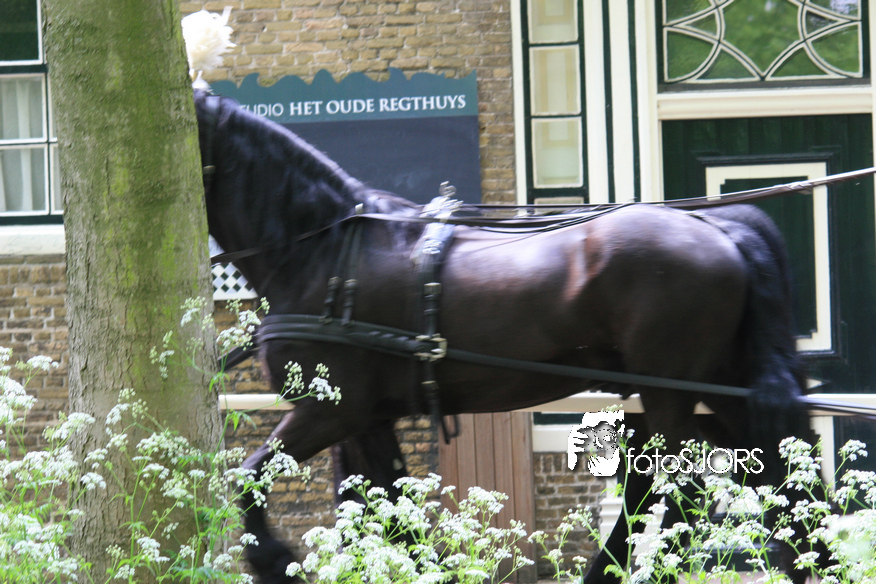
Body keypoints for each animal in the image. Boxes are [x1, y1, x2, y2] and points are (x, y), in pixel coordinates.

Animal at [193, 89, 820, 583]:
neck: (324, 253)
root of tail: (721, 225)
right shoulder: (366, 419)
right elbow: (386, 507)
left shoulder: (330, 411)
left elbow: (247, 481)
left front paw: (274, 563)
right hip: (720, 388)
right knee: (776, 476)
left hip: (670, 392)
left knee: (678, 492)